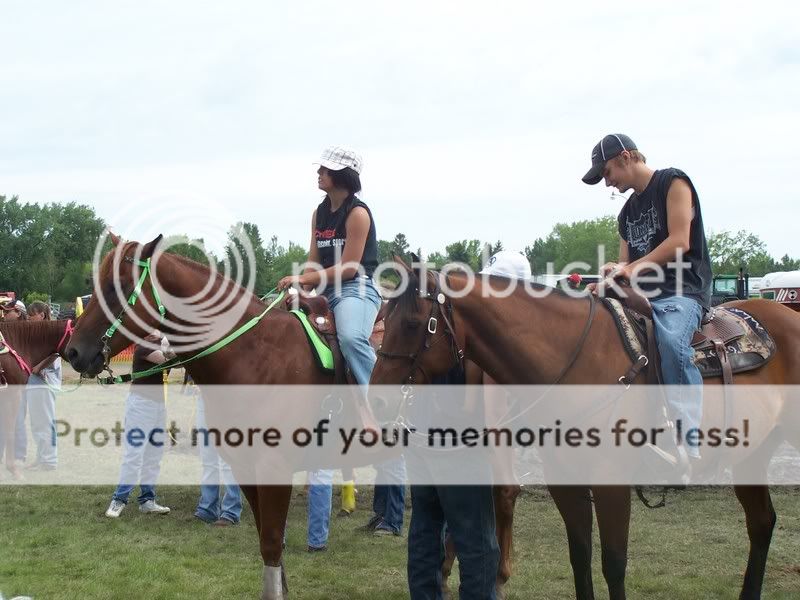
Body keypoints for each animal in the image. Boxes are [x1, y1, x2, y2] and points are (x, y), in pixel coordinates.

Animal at [372, 262, 800, 600]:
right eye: (383, 320)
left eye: (411, 323)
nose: (376, 398)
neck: (576, 362)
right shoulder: (565, 483)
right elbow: (580, 558)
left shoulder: (612, 485)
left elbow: (613, 563)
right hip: (752, 454)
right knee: (762, 523)